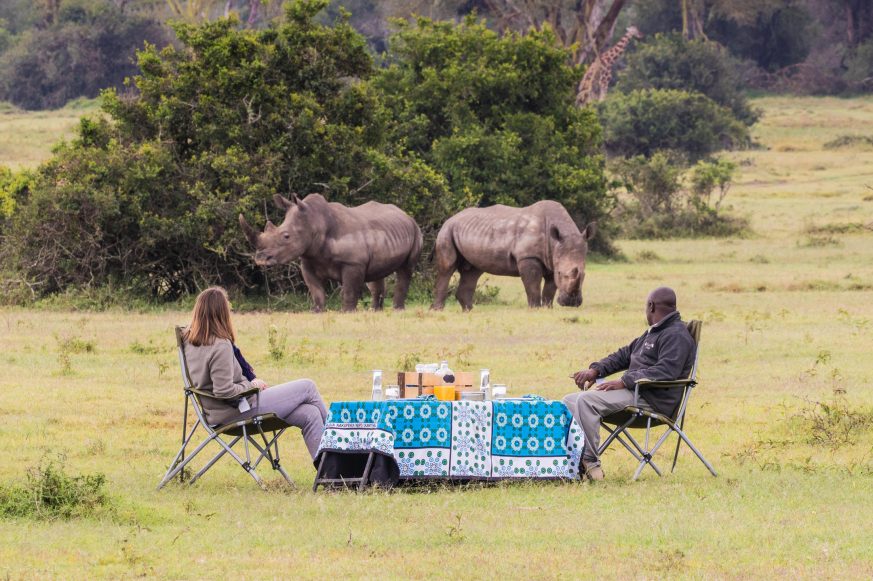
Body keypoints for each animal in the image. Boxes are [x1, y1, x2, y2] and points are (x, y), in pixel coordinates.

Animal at [240, 194, 424, 312]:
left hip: (416, 231)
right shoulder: (307, 261)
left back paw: (397, 310)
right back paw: (375, 311)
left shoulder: (353, 263)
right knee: (376, 275)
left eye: (286, 236)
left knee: (405, 270)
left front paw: (347, 312)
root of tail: (406, 215)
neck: (315, 222)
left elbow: (349, 290)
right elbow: (316, 291)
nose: (261, 259)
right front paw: (317, 311)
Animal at [432, 202, 596, 312]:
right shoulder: (528, 257)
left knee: (473, 271)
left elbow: (550, 288)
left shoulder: (552, 260)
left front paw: (548, 308)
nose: (571, 303)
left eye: (584, 275)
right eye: (561, 274)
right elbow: (533, 285)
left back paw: (469, 311)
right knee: (448, 267)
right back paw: (437, 311)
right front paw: (535, 309)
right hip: (447, 230)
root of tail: (451, 217)